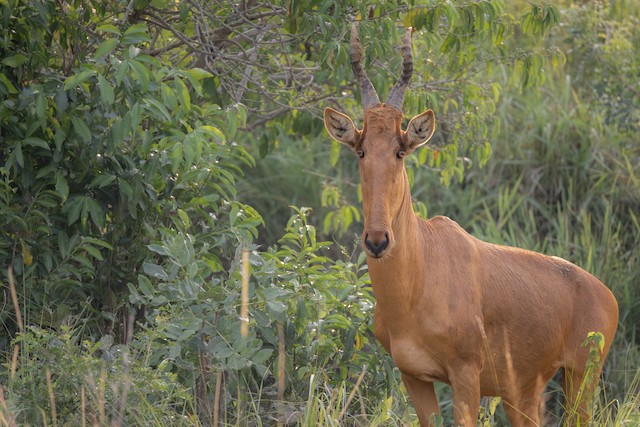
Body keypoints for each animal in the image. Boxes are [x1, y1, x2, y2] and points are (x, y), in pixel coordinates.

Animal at [323, 25, 618, 426]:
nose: (378, 240)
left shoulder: (465, 375)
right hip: (523, 391)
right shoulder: (414, 376)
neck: (422, 268)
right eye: (360, 149)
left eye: (401, 150)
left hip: (581, 377)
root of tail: (605, 293)